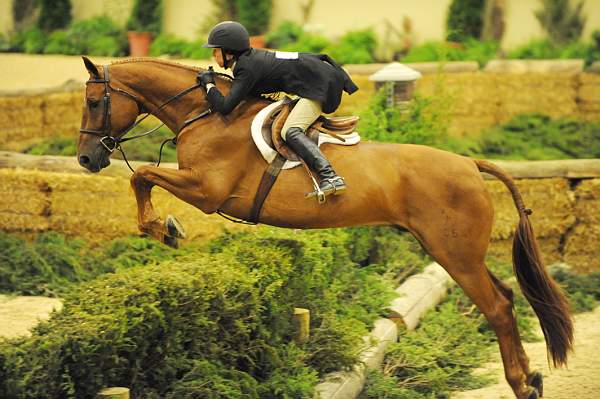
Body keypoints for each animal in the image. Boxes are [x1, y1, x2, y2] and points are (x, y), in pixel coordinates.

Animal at [77, 57, 568, 399]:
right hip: (458, 253)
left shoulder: (207, 191)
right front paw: (161, 227)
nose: (86, 159)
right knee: (505, 297)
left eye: (94, 102)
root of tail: (469, 163)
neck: (208, 114)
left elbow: (141, 175)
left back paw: (522, 383)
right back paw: (532, 377)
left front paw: (164, 228)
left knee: (497, 307)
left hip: (455, 254)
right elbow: (142, 177)